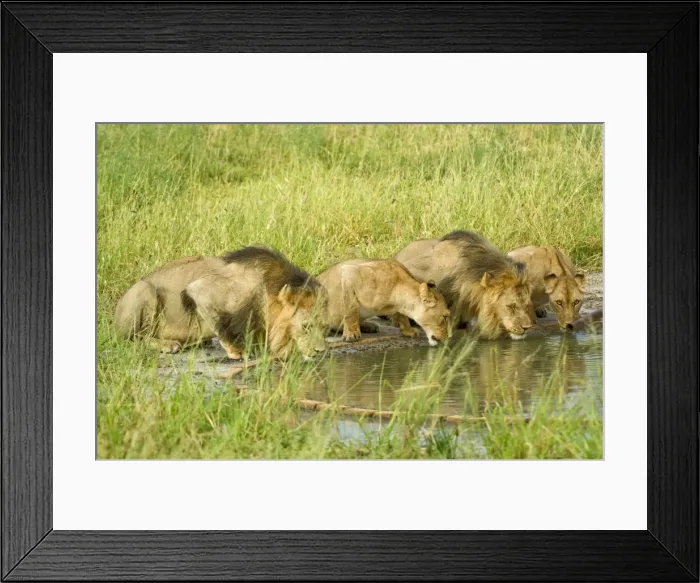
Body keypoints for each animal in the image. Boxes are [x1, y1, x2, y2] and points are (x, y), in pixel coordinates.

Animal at [114, 246, 327, 360]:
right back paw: (167, 345)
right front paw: (237, 351)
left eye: (323, 326)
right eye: (307, 326)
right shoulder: (201, 290)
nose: (321, 351)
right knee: (135, 338)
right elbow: (220, 325)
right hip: (144, 289)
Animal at [317, 258, 450, 346]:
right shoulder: (350, 273)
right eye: (445, 317)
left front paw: (408, 331)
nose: (446, 339)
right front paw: (351, 334)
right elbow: (351, 310)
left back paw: (369, 326)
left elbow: (402, 316)